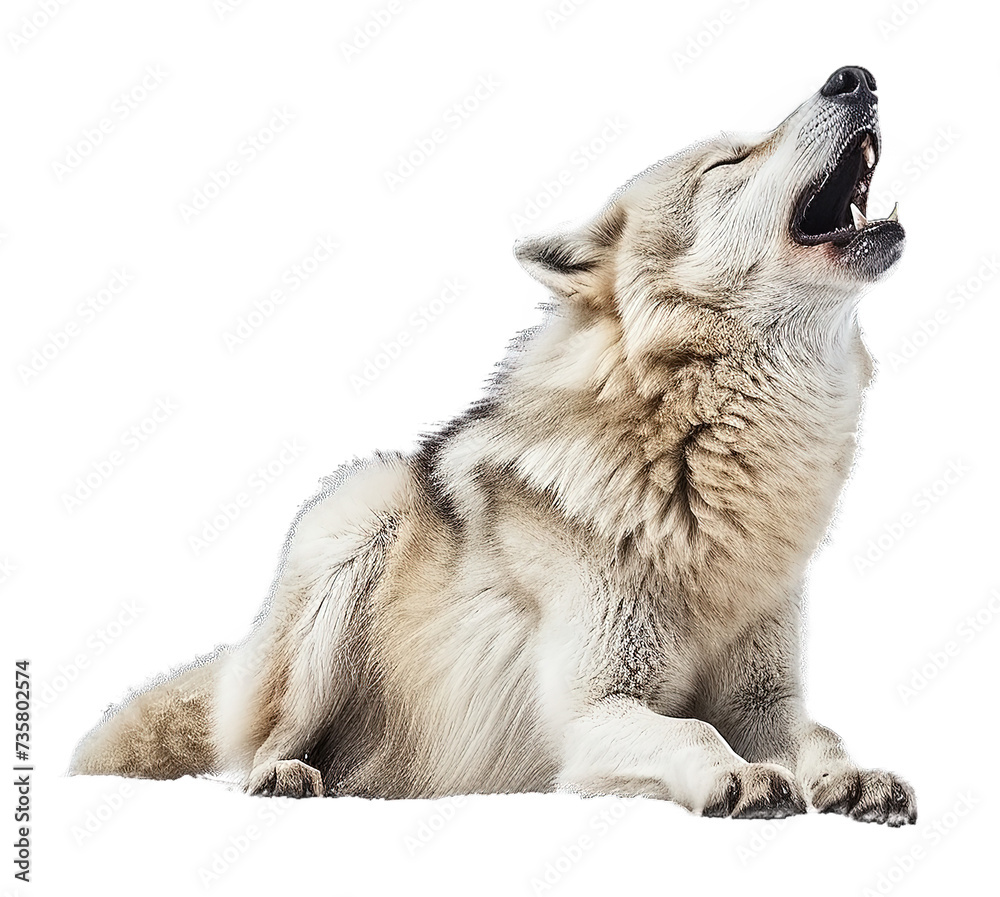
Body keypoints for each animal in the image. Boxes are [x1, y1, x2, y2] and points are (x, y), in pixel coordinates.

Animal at [71, 65, 916, 825]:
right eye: (730, 161)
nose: (854, 76)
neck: (702, 459)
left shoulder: (768, 701)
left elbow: (818, 732)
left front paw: (855, 777)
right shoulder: (592, 711)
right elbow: (696, 731)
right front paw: (740, 778)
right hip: (357, 515)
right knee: (265, 743)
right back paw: (286, 775)